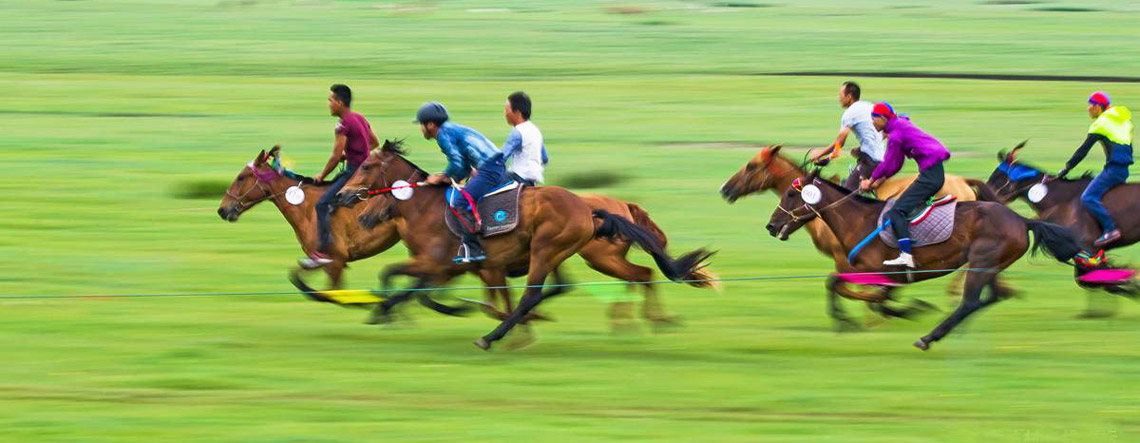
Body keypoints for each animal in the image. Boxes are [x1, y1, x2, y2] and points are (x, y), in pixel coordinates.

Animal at [332, 141, 711, 348]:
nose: (344, 197)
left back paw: (493, 336)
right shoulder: (468, 269)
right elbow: (417, 290)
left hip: (557, 252)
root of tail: (596, 208)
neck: (426, 209)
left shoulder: (441, 263)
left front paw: (385, 311)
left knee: (544, 291)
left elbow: (394, 276)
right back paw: (651, 321)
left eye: (366, 165)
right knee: (632, 275)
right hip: (565, 255)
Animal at [720, 145, 998, 327]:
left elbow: (847, 286)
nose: (725, 190)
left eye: (751, 166)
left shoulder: (845, 259)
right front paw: (882, 309)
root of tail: (964, 181)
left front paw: (880, 310)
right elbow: (848, 287)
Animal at [766, 168, 1094, 348]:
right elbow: (843, 286)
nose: (771, 225)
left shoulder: (875, 270)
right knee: (992, 296)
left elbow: (840, 284)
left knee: (971, 301)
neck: (858, 220)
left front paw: (851, 317)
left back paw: (929, 337)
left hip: (981, 262)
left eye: (791, 196)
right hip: (990, 266)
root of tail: (1021, 220)